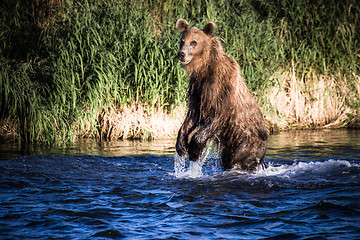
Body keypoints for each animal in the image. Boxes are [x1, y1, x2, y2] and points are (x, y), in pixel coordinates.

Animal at [174, 19, 268, 172]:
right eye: (182, 41)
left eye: (194, 42)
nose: (181, 54)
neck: (204, 68)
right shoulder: (197, 89)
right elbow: (193, 115)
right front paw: (181, 145)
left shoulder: (221, 88)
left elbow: (218, 117)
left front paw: (194, 150)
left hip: (248, 144)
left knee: (237, 162)